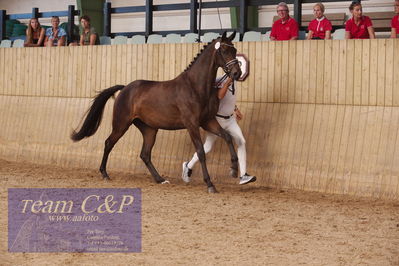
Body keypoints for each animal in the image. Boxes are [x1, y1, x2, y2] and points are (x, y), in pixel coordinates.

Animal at [70, 31, 242, 193]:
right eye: (224, 51)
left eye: (235, 50)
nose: (237, 74)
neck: (196, 87)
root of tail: (125, 88)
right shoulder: (192, 124)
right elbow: (200, 152)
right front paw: (210, 184)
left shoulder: (208, 121)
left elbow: (227, 137)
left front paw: (233, 169)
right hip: (121, 124)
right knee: (109, 143)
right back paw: (105, 174)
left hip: (149, 129)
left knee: (145, 154)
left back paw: (160, 179)